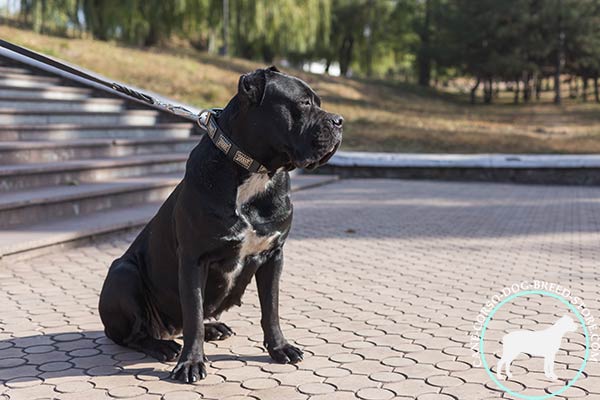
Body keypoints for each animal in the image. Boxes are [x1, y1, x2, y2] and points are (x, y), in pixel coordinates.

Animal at [98, 66, 342, 384]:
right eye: (303, 103)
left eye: (319, 103)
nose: (339, 121)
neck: (255, 171)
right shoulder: (194, 260)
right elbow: (193, 313)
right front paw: (191, 363)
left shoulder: (273, 256)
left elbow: (271, 308)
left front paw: (280, 348)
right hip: (123, 273)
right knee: (135, 333)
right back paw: (163, 346)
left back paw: (213, 328)